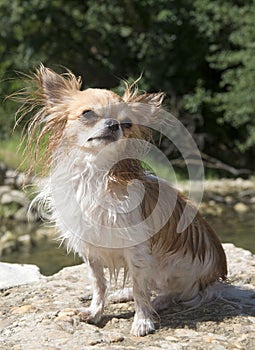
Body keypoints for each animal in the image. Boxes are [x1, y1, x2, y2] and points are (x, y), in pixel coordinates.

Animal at [17, 65, 227, 336]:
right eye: (87, 113)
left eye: (127, 123)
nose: (114, 124)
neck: (95, 174)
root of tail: (215, 275)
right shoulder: (91, 251)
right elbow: (99, 283)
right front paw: (96, 312)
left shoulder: (136, 250)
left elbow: (139, 288)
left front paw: (143, 320)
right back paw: (121, 295)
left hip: (174, 268)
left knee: (172, 292)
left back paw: (158, 301)